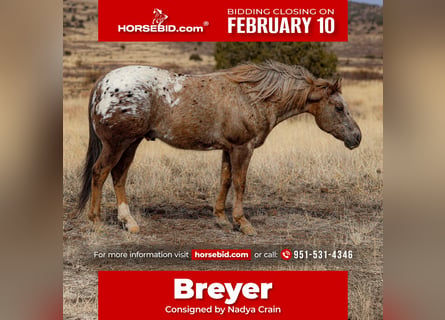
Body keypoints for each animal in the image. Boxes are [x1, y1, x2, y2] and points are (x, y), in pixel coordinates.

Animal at [78, 60, 360, 235]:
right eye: (339, 107)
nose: (356, 137)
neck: (252, 96)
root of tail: (103, 82)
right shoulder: (243, 148)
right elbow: (240, 183)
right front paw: (243, 223)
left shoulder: (228, 148)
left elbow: (225, 180)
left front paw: (222, 218)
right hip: (117, 144)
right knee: (100, 173)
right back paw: (96, 221)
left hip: (131, 143)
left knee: (118, 176)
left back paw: (129, 222)